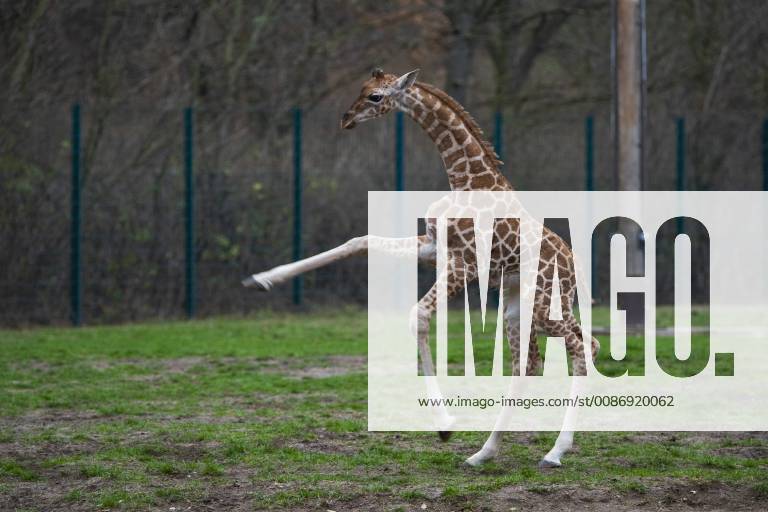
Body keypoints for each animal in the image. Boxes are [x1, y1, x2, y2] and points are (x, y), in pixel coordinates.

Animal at [244, 69, 600, 468]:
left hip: (544, 305)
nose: (346, 118)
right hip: (515, 307)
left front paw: (444, 426)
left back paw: (555, 452)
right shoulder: (433, 249)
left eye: (376, 96)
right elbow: (359, 241)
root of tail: (574, 267)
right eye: (363, 89)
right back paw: (483, 453)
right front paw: (261, 279)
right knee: (529, 365)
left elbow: (418, 316)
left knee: (585, 346)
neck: (465, 179)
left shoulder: (464, 264)